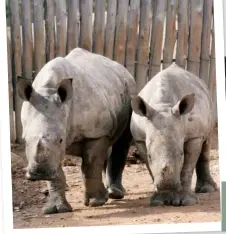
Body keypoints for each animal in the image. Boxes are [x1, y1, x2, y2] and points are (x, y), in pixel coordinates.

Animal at [17, 47, 136, 214]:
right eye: (25, 141)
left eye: (61, 139)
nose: (39, 173)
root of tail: (122, 68)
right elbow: (56, 172)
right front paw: (56, 209)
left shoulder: (95, 133)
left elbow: (90, 164)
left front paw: (96, 202)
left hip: (130, 90)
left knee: (121, 142)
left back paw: (115, 194)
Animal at [130, 63, 218, 207]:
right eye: (150, 156)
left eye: (181, 154)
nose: (168, 185)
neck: (163, 106)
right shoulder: (140, 139)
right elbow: (150, 167)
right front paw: (160, 201)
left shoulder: (194, 136)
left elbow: (187, 166)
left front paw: (187, 202)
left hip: (208, 104)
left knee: (207, 140)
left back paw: (207, 189)